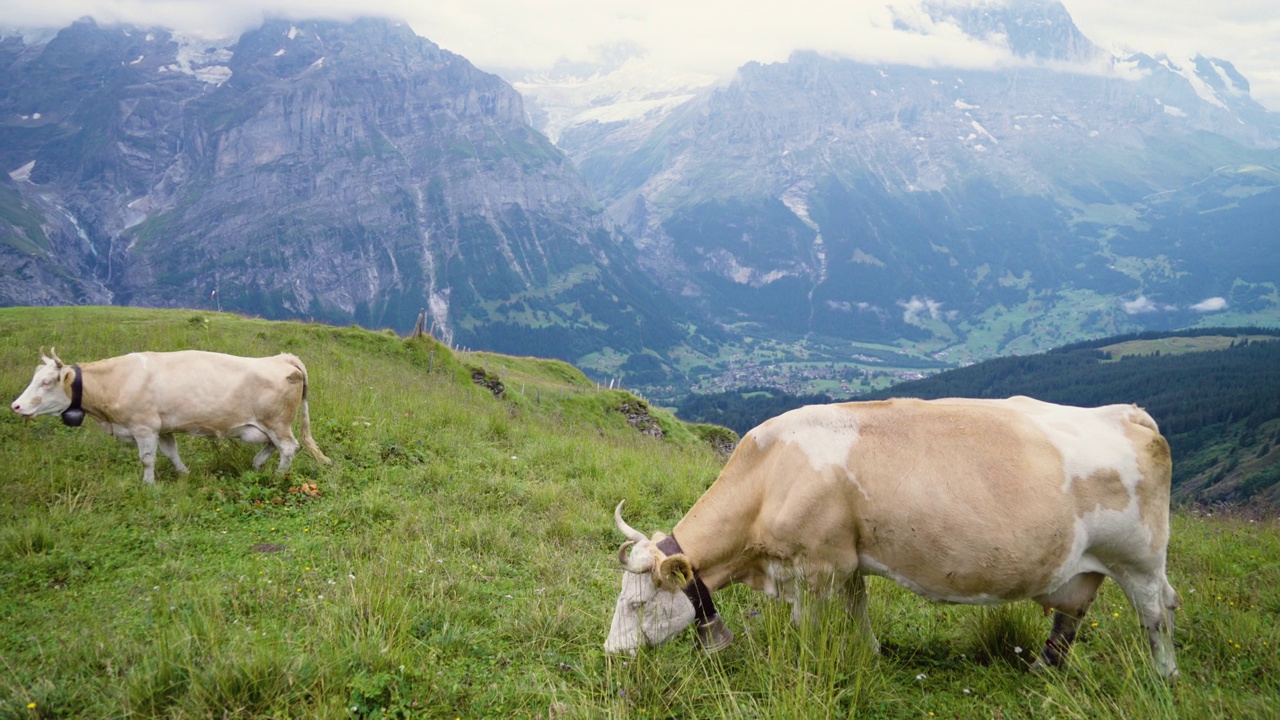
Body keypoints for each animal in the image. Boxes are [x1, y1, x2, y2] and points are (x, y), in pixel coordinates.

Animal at [11, 348, 330, 481]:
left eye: (46, 382)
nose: (16, 406)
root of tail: (282, 357)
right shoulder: (163, 427)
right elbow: (171, 453)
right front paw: (185, 475)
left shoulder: (144, 427)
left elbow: (147, 459)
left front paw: (148, 486)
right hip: (261, 426)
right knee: (274, 446)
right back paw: (258, 464)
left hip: (276, 421)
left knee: (288, 447)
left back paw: (277, 476)